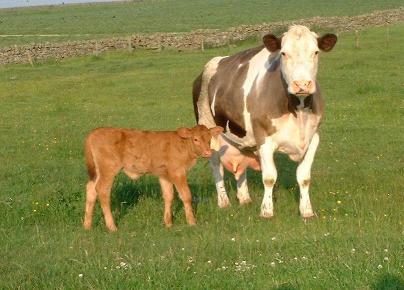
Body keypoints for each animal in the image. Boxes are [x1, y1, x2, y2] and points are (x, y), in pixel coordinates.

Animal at [83, 124, 224, 231]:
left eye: (209, 139)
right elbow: (186, 195)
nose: (208, 152)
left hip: (97, 172)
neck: (182, 145)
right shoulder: (178, 172)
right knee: (102, 191)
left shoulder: (164, 175)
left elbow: (169, 196)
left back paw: (87, 225)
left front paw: (168, 223)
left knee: (91, 190)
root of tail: (96, 131)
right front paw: (192, 222)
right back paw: (112, 226)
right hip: (108, 170)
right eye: (195, 139)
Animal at [193, 26, 338, 219]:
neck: (298, 110)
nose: (302, 84)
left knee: (240, 165)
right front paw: (267, 211)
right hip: (209, 129)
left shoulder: (313, 138)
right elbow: (269, 177)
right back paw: (223, 202)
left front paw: (307, 211)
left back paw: (244, 198)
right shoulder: (264, 139)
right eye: (283, 53)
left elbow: (304, 177)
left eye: (315, 52)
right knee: (216, 165)